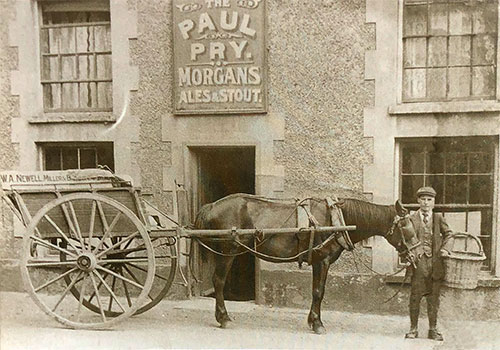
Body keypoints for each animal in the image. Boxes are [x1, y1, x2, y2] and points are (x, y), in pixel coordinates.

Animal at [193, 194, 416, 334]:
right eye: (406, 226)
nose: (415, 253)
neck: (336, 220)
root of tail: (211, 206)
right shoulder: (322, 261)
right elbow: (319, 291)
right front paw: (317, 323)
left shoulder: (319, 262)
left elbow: (316, 291)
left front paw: (312, 320)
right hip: (227, 252)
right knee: (218, 281)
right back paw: (224, 318)